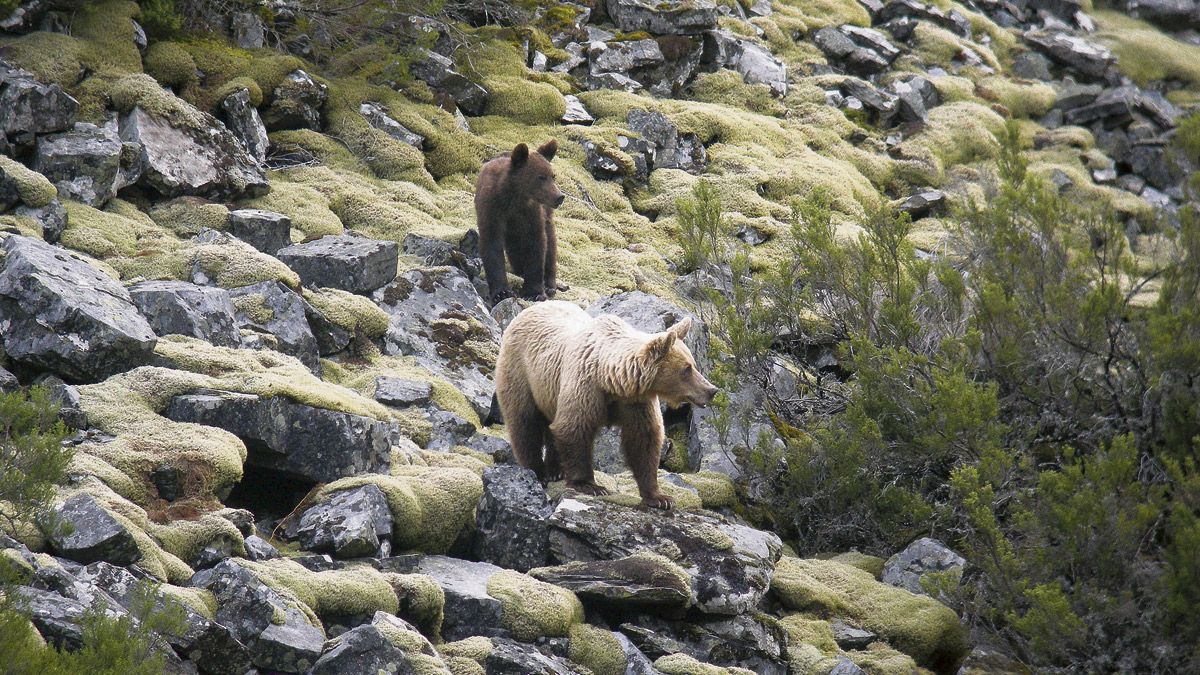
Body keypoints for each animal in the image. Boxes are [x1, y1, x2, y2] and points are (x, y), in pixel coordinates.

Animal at [494, 299, 715, 504]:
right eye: (686, 369)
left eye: (694, 364)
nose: (711, 390)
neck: (611, 380)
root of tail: (530, 308)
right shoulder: (586, 387)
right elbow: (573, 428)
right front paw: (590, 485)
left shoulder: (635, 402)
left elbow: (644, 439)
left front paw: (659, 497)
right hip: (521, 372)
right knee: (524, 422)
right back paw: (536, 472)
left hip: (549, 391)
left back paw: (556, 470)